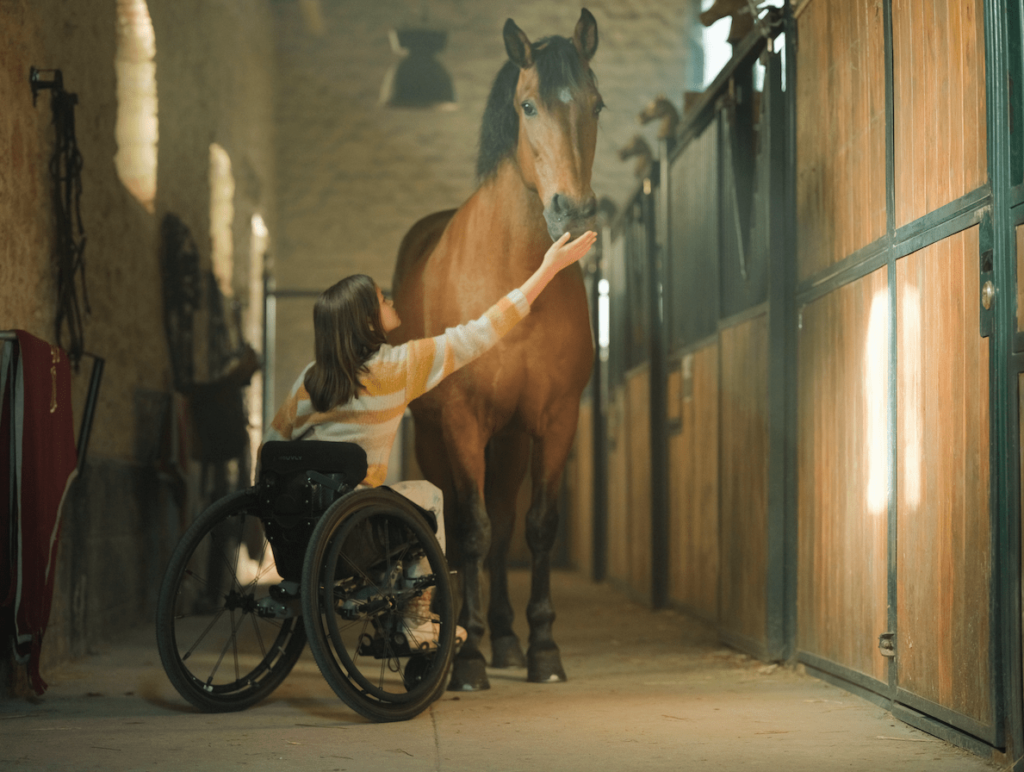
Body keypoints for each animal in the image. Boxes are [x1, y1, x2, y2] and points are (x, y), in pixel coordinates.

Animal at [389, 9, 598, 688]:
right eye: (528, 105)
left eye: (596, 103)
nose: (572, 212)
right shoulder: (462, 421)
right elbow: (472, 531)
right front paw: (469, 662)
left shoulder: (556, 421)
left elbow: (536, 528)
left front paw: (541, 650)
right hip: (444, 439)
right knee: (462, 523)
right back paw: (469, 637)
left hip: (506, 441)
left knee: (506, 523)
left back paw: (502, 636)